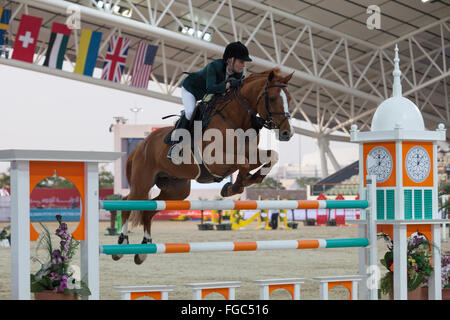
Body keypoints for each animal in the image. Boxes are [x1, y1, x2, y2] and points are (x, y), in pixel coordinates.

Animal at [112, 67, 296, 262]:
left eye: (289, 99)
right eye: (273, 98)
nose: (287, 133)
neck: (235, 120)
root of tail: (140, 146)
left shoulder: (251, 154)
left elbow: (271, 157)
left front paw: (248, 181)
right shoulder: (215, 160)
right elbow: (244, 164)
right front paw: (234, 187)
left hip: (177, 190)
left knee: (148, 210)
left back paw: (143, 249)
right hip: (142, 183)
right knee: (127, 203)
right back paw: (122, 244)